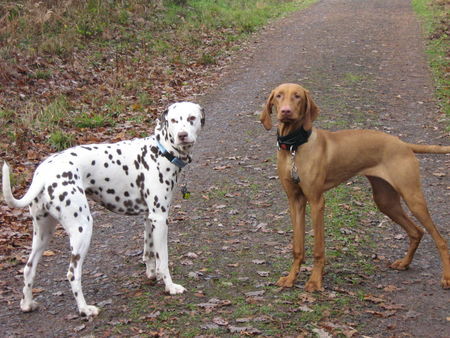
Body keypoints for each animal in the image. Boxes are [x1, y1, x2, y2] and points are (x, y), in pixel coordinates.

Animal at [1, 101, 205, 318]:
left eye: (191, 118)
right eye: (174, 120)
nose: (182, 135)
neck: (161, 151)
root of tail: (43, 171)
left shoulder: (149, 218)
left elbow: (149, 252)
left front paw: (152, 274)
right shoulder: (160, 218)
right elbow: (163, 259)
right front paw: (170, 286)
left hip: (43, 233)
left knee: (28, 268)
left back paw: (27, 304)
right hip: (82, 229)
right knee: (72, 273)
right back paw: (84, 309)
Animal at [258, 84, 448, 290]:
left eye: (298, 96)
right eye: (279, 96)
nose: (286, 111)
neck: (295, 147)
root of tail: (403, 144)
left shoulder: (317, 202)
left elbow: (318, 248)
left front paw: (315, 281)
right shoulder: (295, 201)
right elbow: (297, 246)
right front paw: (291, 278)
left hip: (412, 197)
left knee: (440, 239)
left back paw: (446, 278)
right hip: (385, 201)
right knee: (416, 231)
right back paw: (404, 263)